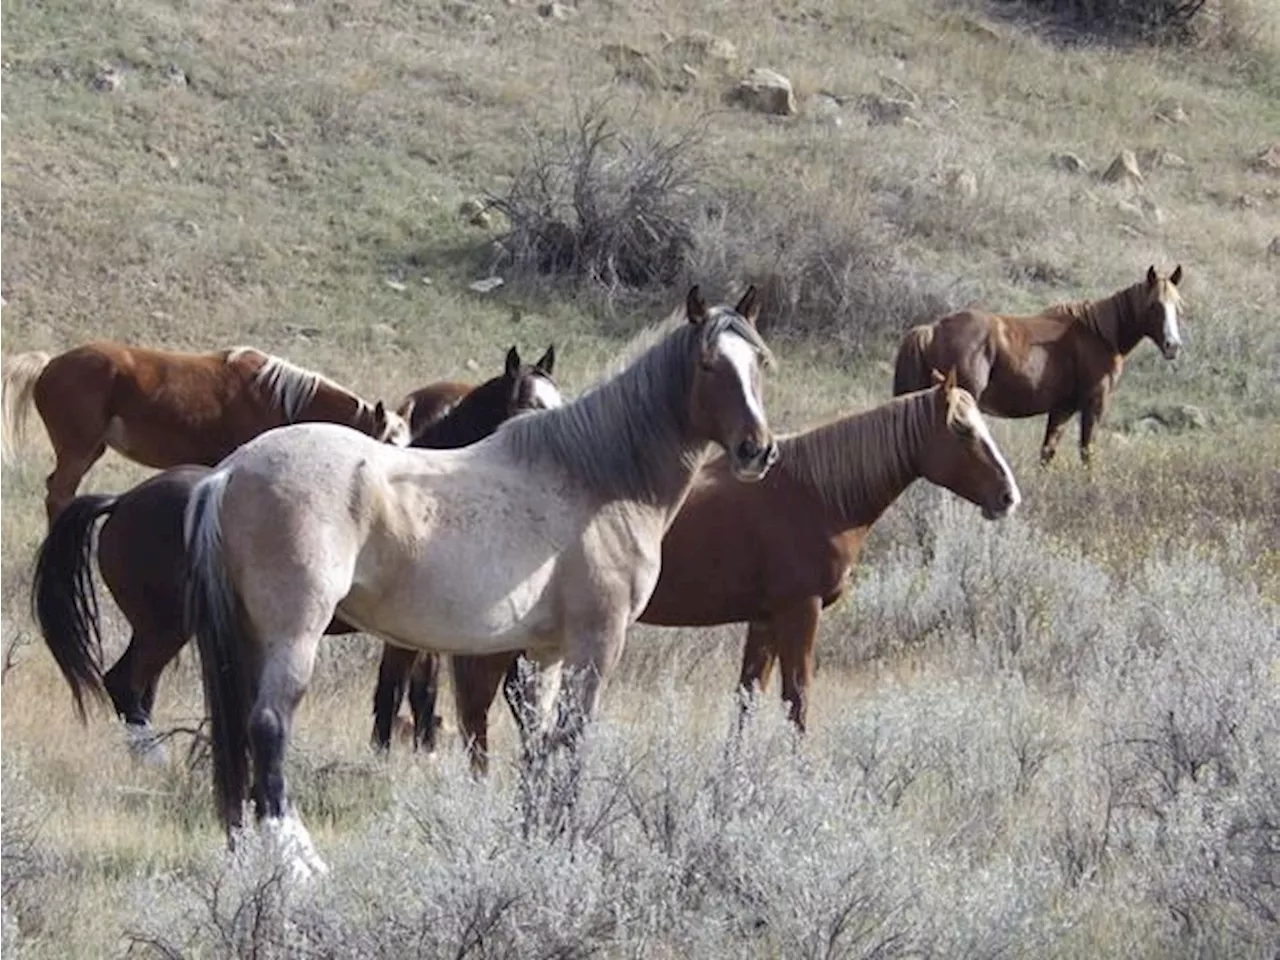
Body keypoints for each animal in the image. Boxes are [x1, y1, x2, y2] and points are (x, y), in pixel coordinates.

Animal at [28, 345, 560, 757]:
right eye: (526, 405)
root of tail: (122, 502)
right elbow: (401, 694)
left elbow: (411, 692)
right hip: (165, 627)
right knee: (125, 684)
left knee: (138, 691)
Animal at [184, 285, 773, 880]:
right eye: (708, 364)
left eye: (759, 362)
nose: (758, 450)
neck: (596, 479)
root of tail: (229, 472)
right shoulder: (597, 642)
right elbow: (573, 739)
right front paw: (567, 847)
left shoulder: (546, 651)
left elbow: (539, 743)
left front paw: (536, 843)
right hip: (294, 635)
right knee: (268, 726)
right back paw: (300, 862)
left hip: (250, 637)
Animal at [376, 371, 1018, 773]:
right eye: (962, 430)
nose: (1008, 496)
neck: (814, 494)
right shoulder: (799, 613)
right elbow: (798, 698)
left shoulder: (764, 620)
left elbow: (748, 698)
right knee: (470, 705)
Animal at [896, 264, 1182, 463]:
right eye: (1154, 305)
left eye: (1177, 306)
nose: (1173, 345)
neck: (1098, 334)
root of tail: (932, 330)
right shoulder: (1093, 404)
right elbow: (1087, 452)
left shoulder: (1062, 409)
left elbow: (1047, 452)